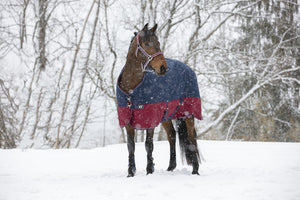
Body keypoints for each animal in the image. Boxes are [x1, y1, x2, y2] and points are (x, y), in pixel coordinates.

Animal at [116, 23, 203, 177]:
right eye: (147, 43)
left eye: (158, 43)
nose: (163, 68)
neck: (131, 89)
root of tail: (188, 69)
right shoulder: (127, 120)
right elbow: (131, 146)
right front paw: (131, 172)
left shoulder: (149, 119)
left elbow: (148, 145)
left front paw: (149, 170)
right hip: (166, 116)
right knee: (172, 136)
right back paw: (170, 167)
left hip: (189, 113)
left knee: (192, 138)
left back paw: (195, 170)